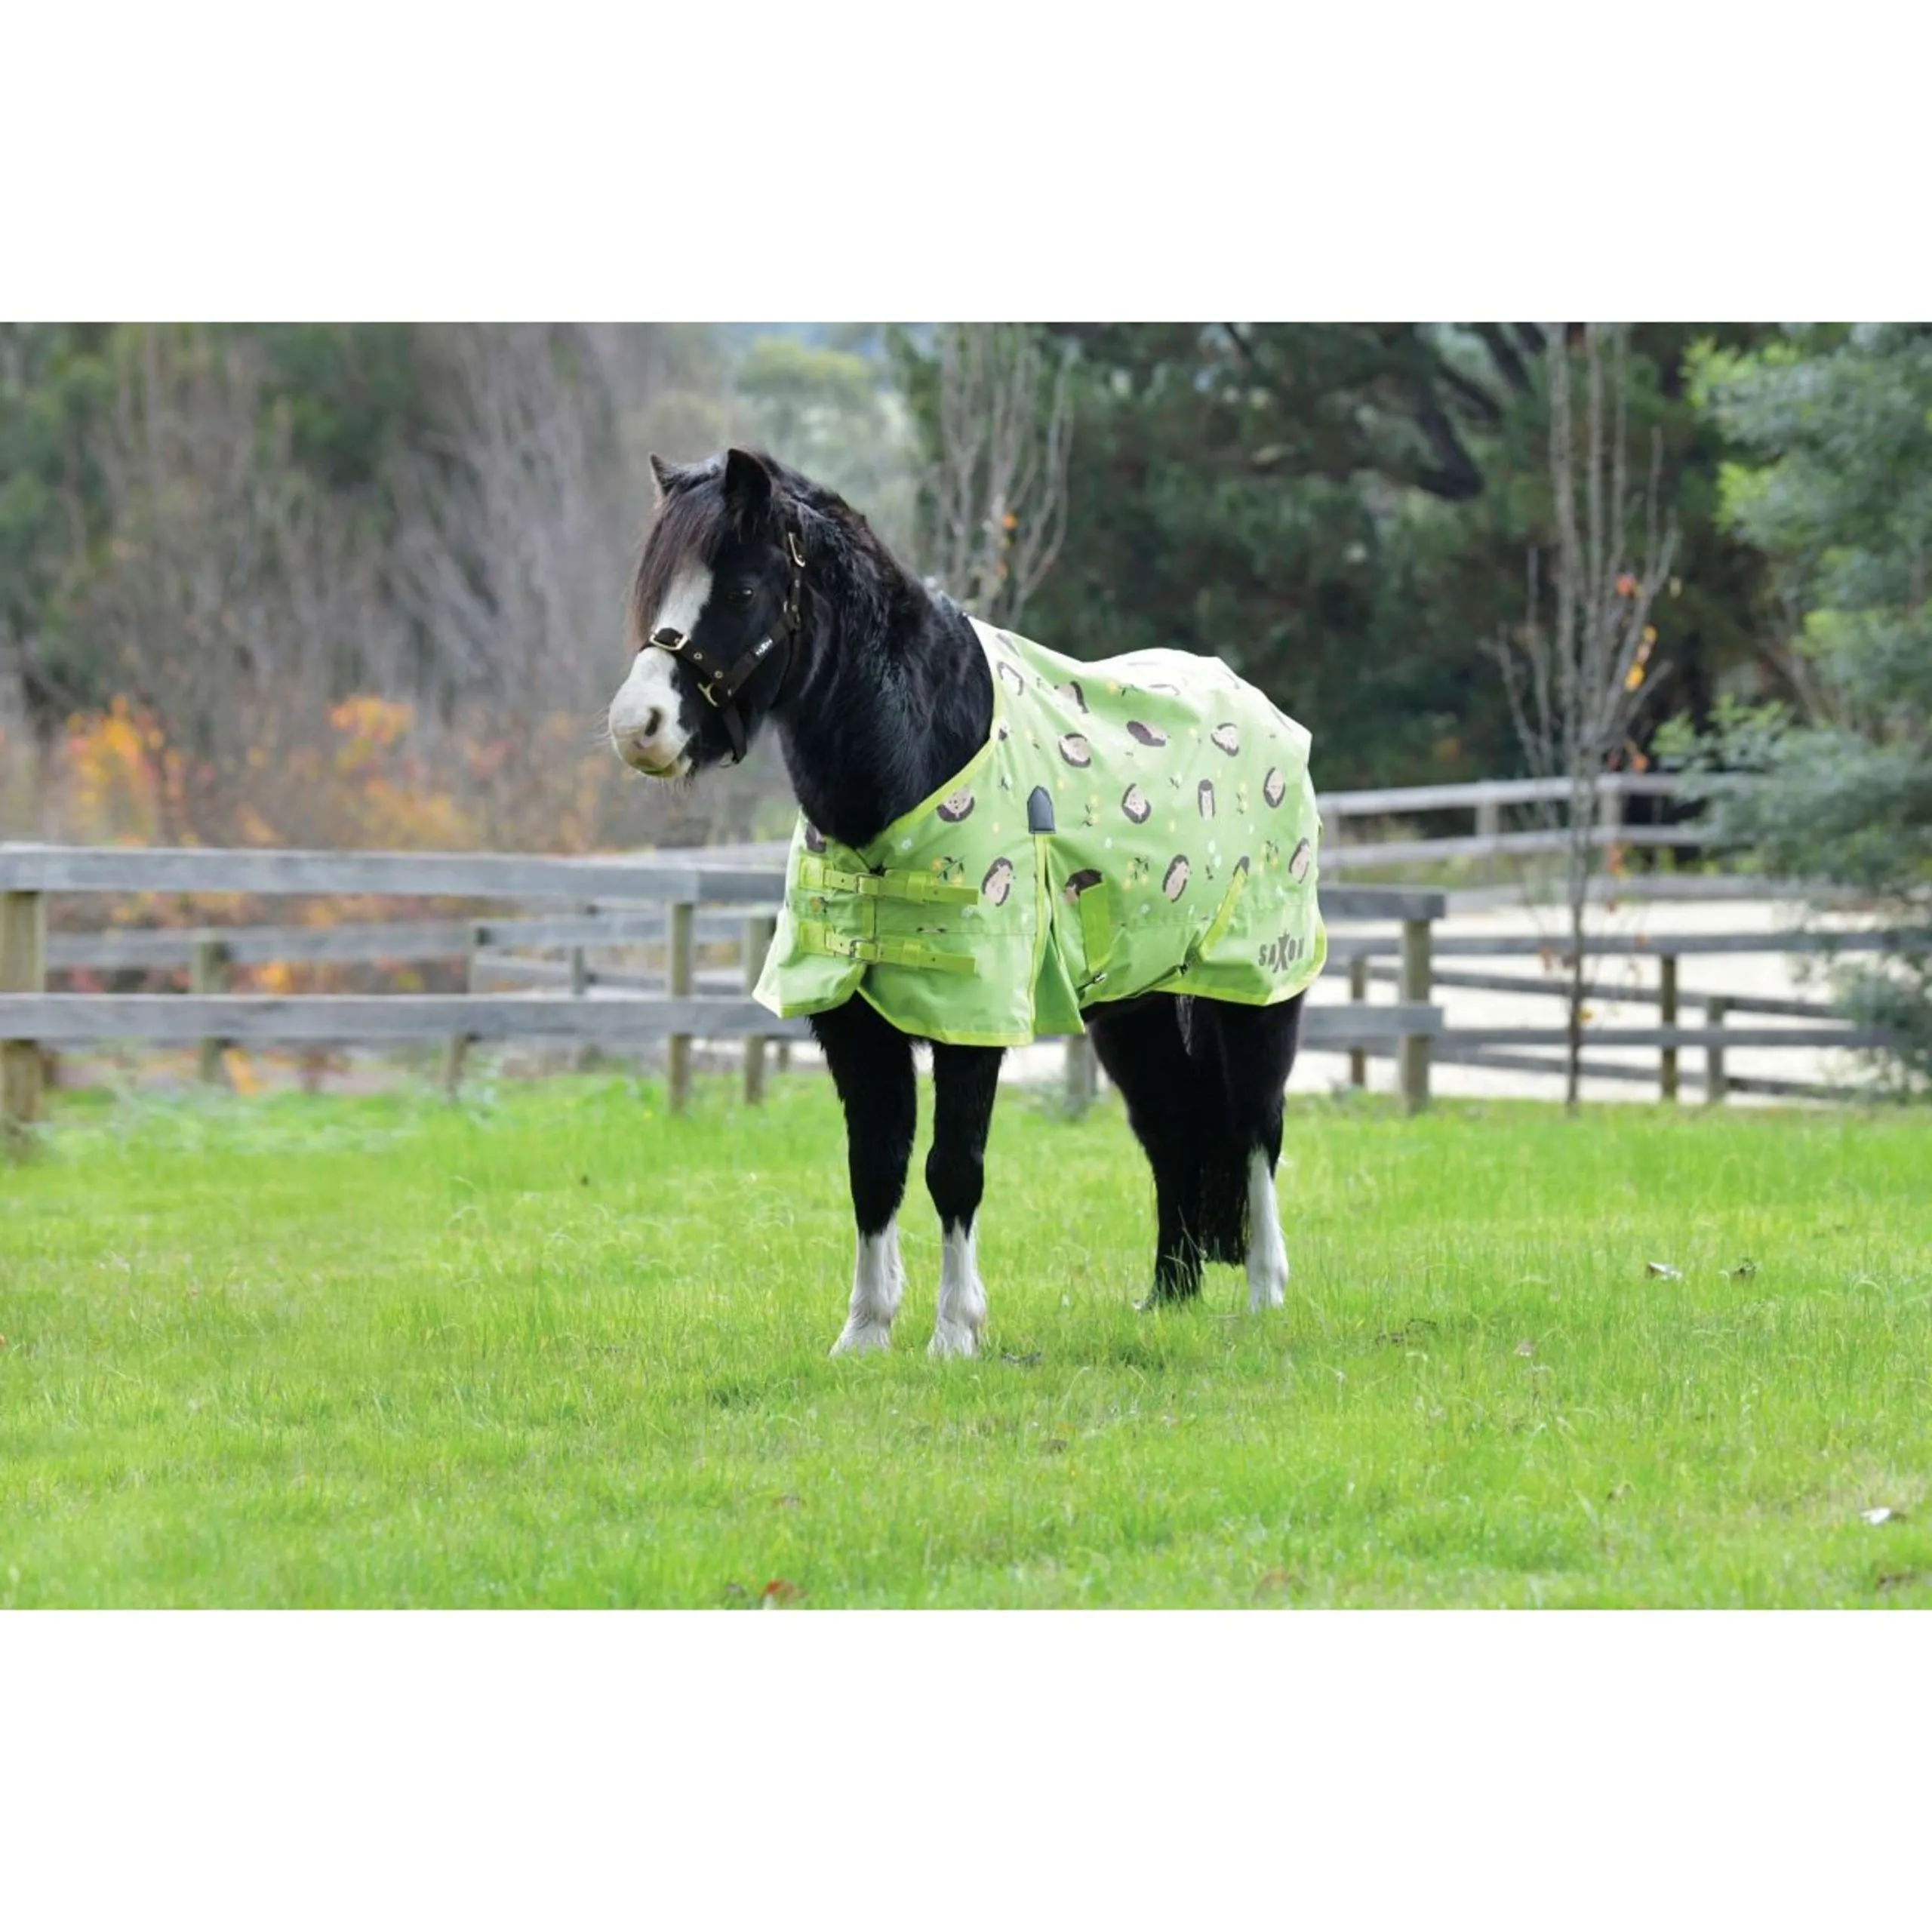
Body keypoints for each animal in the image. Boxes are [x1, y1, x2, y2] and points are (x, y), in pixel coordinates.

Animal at [607, 448, 1314, 1358]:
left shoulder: (972, 1018)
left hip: (1256, 990)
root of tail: (1257, 708)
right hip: (1137, 1009)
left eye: (741, 589)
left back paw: (1263, 1294)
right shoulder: (854, 1023)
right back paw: (1166, 1297)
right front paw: (864, 1333)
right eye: (656, 589)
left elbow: (952, 1169)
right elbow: (873, 1169)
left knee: (1258, 1125)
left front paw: (954, 1334)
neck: (916, 754)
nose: (639, 726)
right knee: (1170, 1129)